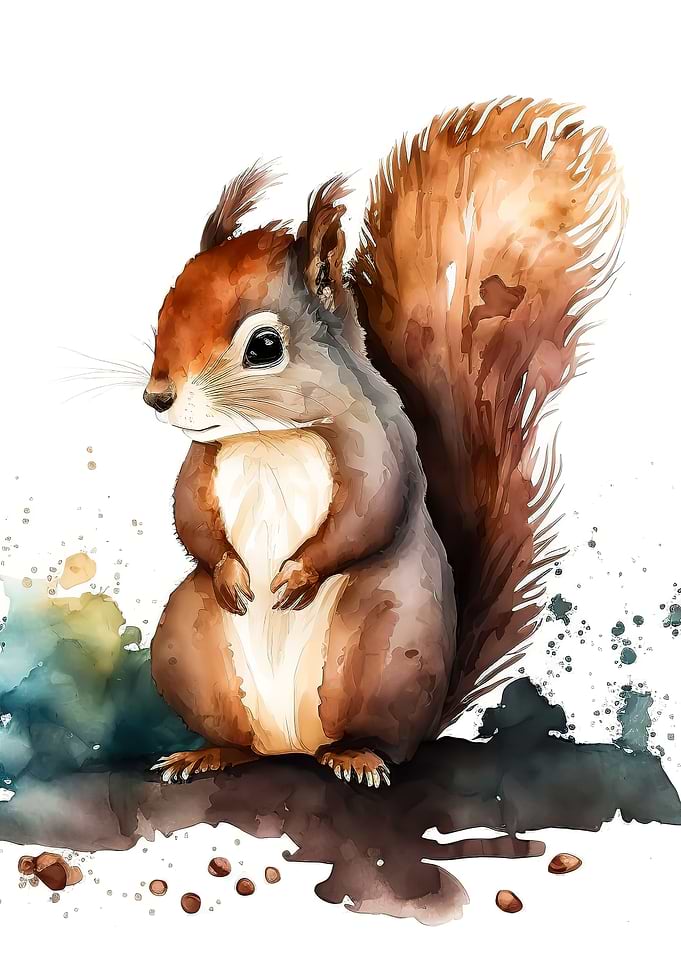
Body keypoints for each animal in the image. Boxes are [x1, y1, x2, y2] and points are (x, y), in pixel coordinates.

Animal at [143, 97, 625, 786]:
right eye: (162, 312)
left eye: (264, 346)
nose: (157, 397)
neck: (266, 439)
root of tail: (291, 745)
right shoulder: (202, 459)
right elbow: (189, 517)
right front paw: (235, 576)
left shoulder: (379, 446)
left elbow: (370, 511)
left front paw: (294, 578)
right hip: (190, 643)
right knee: (240, 740)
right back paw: (209, 753)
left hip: (384, 655)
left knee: (383, 739)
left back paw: (356, 756)